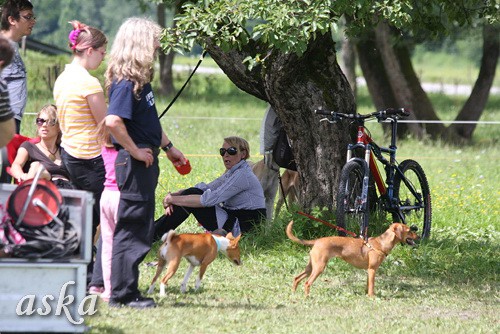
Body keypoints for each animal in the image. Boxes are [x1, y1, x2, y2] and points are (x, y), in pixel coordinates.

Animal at [286, 220, 418, 296]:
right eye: (409, 230)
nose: (418, 236)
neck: (381, 243)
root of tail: (317, 241)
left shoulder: (369, 271)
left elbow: (368, 285)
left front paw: (366, 294)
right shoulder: (372, 270)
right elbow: (372, 287)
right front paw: (372, 297)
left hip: (310, 267)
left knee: (296, 278)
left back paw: (293, 294)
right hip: (319, 268)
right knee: (307, 283)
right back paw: (307, 297)